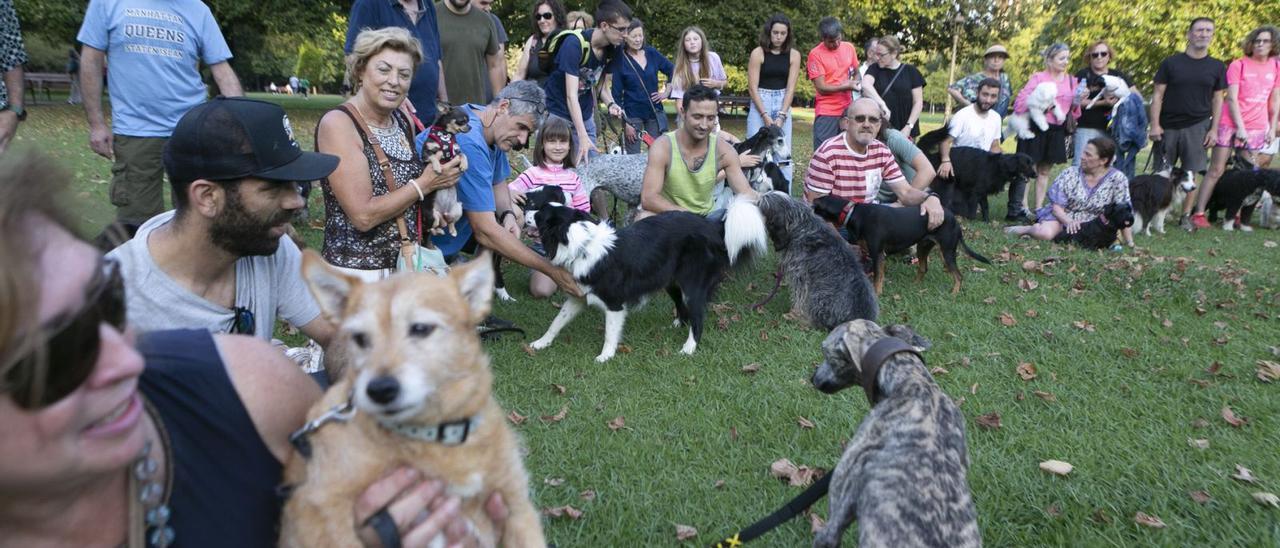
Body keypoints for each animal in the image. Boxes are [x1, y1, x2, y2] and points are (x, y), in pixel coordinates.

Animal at [280, 250, 545, 545]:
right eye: (359, 338)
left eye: (420, 328)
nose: (379, 390)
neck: (435, 436)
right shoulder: (315, 505)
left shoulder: (517, 508)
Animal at [752, 192, 875, 330]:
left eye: (760, 204)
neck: (800, 226)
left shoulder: (800, 276)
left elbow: (800, 298)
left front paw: (795, 313)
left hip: (818, 296)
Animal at [814, 194, 993, 293]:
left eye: (816, 208)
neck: (852, 212)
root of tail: (955, 220)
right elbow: (877, 274)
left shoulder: (877, 253)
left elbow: (878, 277)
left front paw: (877, 294)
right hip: (923, 247)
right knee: (923, 268)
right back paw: (915, 285)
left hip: (947, 251)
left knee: (958, 276)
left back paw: (953, 294)